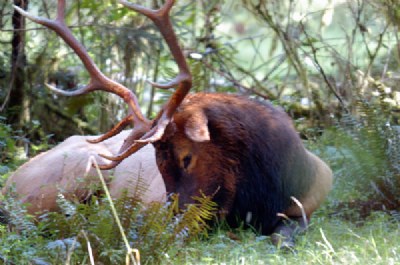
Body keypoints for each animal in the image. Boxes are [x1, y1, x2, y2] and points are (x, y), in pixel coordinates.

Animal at [11, 0, 332, 245]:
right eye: (157, 162)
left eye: (187, 157)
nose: (171, 218)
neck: (265, 192)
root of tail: (9, 182)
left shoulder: (308, 203)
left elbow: (284, 236)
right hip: (69, 182)